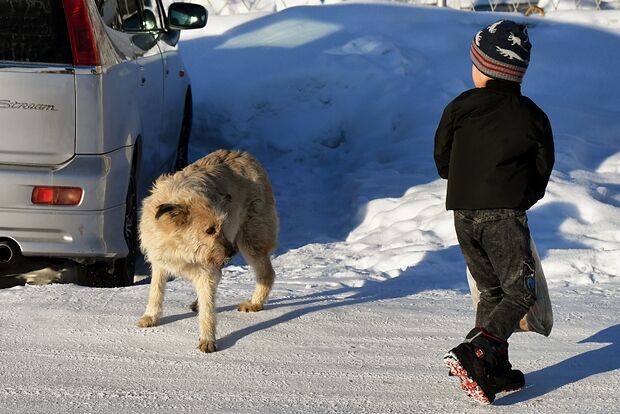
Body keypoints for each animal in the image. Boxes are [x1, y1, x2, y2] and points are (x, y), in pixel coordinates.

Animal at [139, 149, 280, 352]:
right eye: (210, 230)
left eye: (221, 226)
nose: (231, 253)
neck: (179, 245)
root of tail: (245, 154)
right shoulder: (160, 261)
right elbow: (156, 291)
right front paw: (151, 317)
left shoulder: (207, 270)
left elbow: (208, 308)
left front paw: (207, 339)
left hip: (252, 239)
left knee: (266, 273)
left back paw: (255, 303)